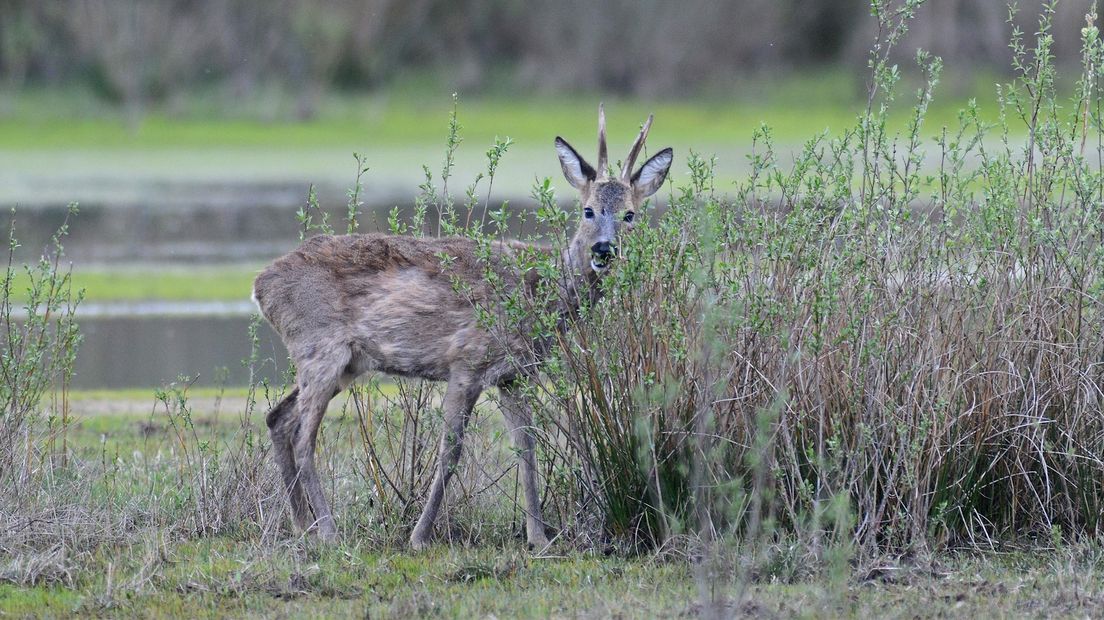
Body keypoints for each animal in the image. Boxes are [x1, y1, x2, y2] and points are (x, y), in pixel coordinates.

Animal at [252, 103, 671, 547]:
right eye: (588, 210)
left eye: (630, 215)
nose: (604, 250)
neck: (536, 292)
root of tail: (261, 285)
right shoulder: (468, 360)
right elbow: (450, 451)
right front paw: (420, 536)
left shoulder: (514, 374)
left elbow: (527, 448)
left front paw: (538, 538)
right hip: (321, 346)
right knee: (303, 435)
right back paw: (329, 531)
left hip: (344, 362)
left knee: (279, 418)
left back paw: (302, 524)